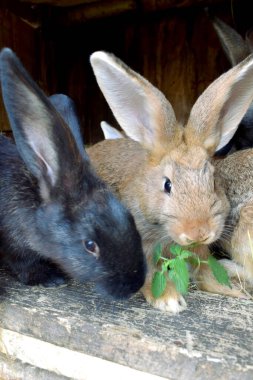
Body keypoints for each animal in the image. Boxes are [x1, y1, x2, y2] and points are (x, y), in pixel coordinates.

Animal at [0, 47, 145, 298]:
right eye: (89, 245)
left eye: (130, 218)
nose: (134, 285)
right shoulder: (13, 245)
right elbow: (24, 266)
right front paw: (50, 278)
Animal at [87, 51, 253, 312]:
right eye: (167, 185)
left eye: (213, 182)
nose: (198, 232)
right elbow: (150, 275)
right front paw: (169, 301)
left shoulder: (201, 252)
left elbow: (206, 272)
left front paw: (230, 290)